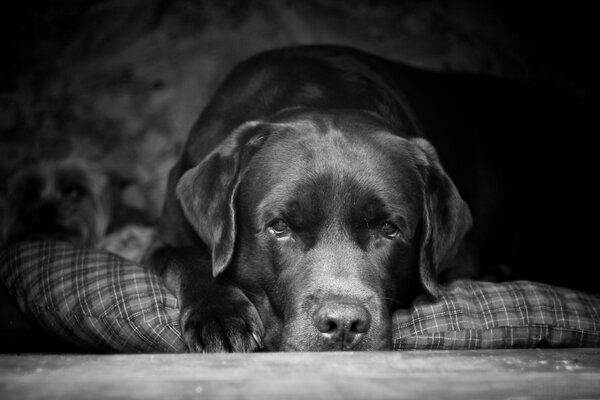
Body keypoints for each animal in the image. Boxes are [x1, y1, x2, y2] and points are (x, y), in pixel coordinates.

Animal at [145, 43, 596, 350]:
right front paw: (219, 317)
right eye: (279, 227)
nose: (343, 324)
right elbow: (188, 257)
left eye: (389, 230)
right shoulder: (166, 234)